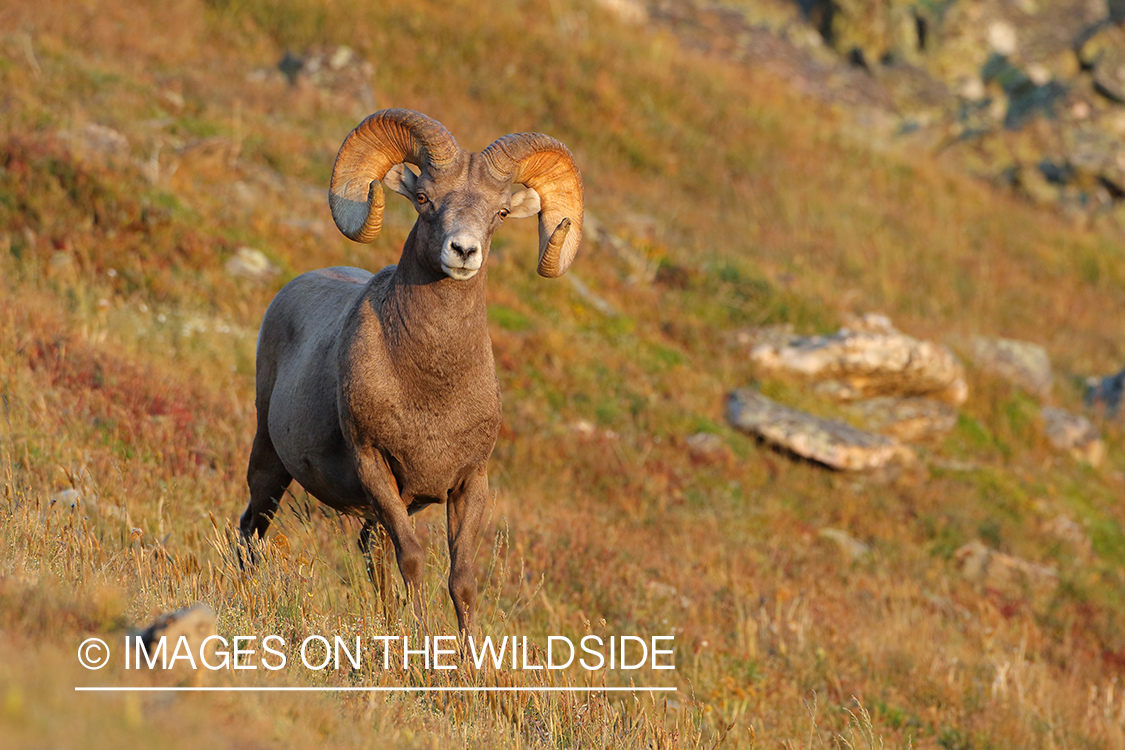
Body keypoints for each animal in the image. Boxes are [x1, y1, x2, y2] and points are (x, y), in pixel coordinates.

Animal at [240, 106, 585, 634]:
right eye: (425, 199)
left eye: (500, 214)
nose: (463, 251)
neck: (432, 388)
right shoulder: (376, 466)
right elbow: (414, 560)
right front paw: (421, 640)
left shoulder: (470, 485)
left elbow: (462, 581)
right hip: (270, 460)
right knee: (253, 528)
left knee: (370, 551)